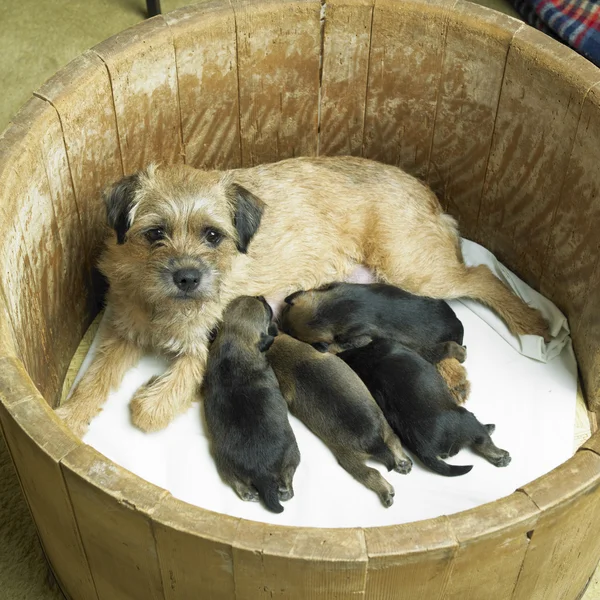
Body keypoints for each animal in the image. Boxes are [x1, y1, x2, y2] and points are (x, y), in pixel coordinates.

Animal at [204, 296, 300, 510]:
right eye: (267, 310)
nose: (260, 297)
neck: (233, 340)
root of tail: (262, 474)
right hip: (293, 453)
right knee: (288, 475)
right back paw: (286, 491)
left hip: (225, 465)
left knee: (236, 483)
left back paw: (249, 494)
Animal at [268, 332, 412, 506]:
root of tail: (375, 441)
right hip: (353, 456)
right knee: (373, 470)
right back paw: (388, 488)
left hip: (376, 433)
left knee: (389, 447)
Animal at [282, 282, 474, 404]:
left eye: (292, 334)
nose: (280, 328)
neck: (335, 308)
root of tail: (458, 326)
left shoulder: (359, 336)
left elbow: (339, 345)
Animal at [338, 340, 510, 476]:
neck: (363, 354)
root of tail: (425, 449)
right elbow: (446, 346)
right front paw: (462, 351)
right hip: (467, 419)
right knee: (482, 440)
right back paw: (499, 453)